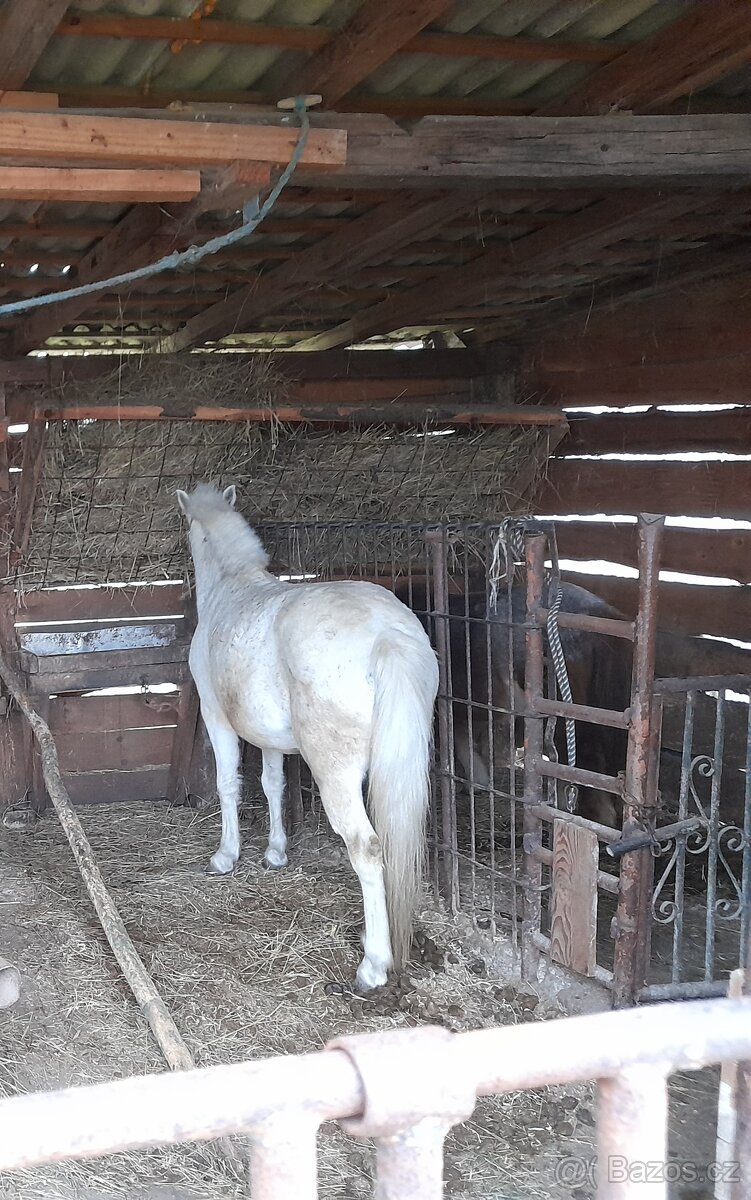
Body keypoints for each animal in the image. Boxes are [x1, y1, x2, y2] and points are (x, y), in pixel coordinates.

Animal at [176, 484, 439, 991]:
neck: (232, 586)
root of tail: (387, 635)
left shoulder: (217, 718)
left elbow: (229, 785)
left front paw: (226, 856)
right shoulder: (270, 738)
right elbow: (273, 785)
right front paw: (275, 852)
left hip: (335, 773)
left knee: (367, 847)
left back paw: (373, 965)